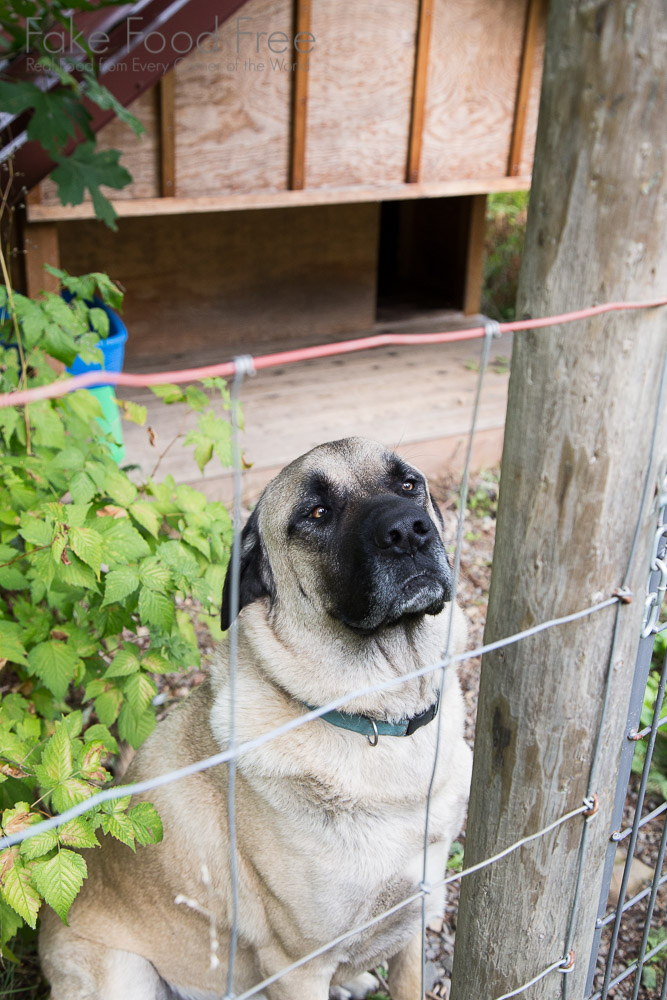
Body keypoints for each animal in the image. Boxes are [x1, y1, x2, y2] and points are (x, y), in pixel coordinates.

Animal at [39, 440, 472, 1000]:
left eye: (408, 484)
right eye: (317, 513)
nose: (409, 530)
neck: (381, 716)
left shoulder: (415, 917)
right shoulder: (297, 967)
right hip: (125, 973)